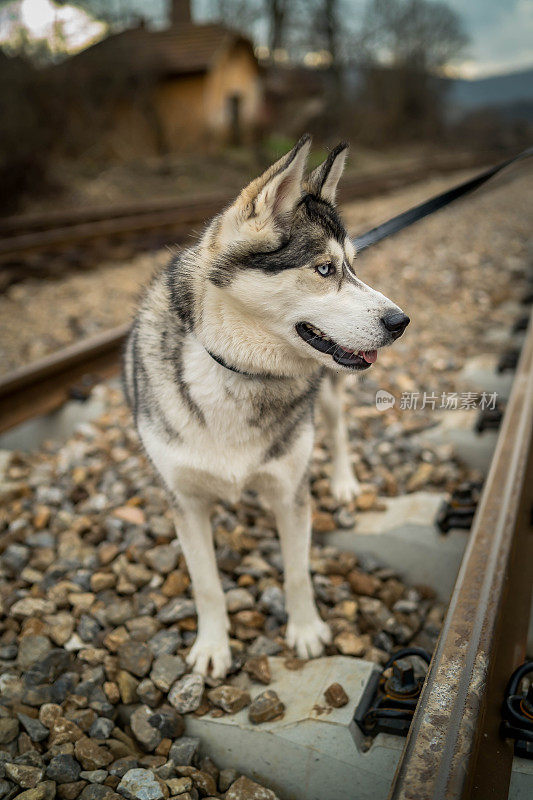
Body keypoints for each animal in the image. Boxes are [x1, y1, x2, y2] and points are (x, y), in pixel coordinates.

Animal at [123, 136, 408, 676]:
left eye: (353, 267)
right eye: (325, 269)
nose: (401, 321)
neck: (235, 369)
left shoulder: (290, 490)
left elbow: (296, 572)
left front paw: (306, 632)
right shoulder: (184, 500)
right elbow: (206, 585)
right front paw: (212, 648)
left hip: (331, 392)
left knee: (337, 429)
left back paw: (344, 482)